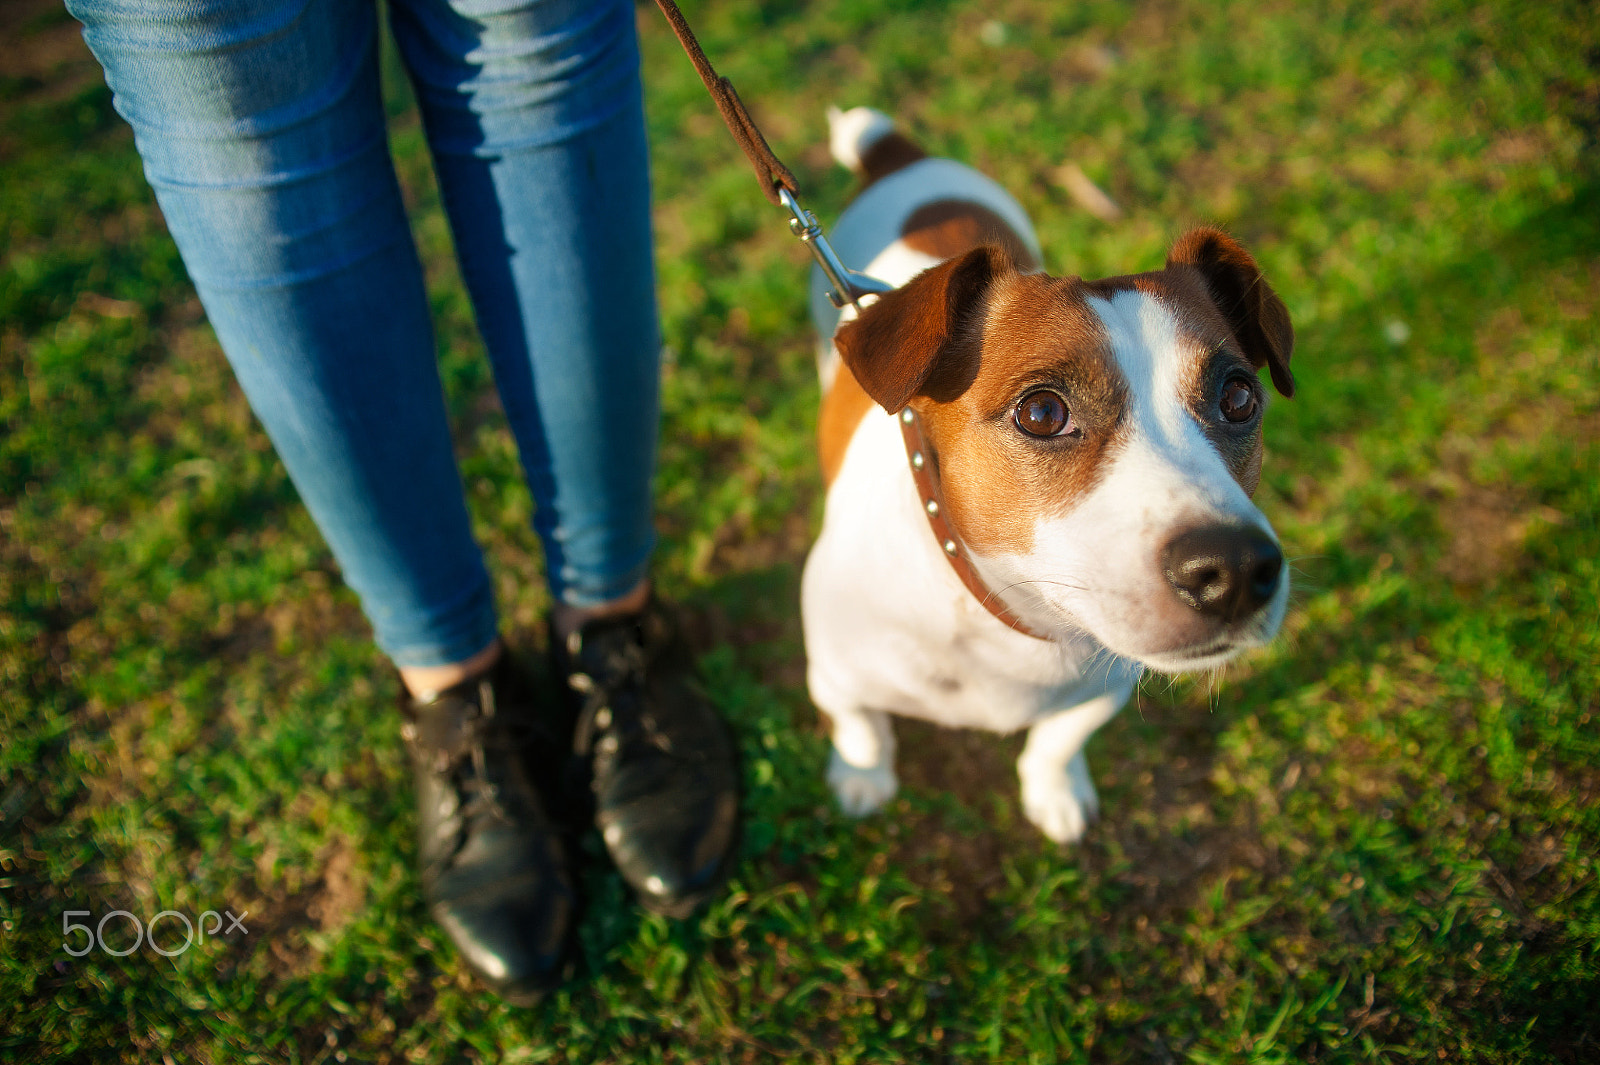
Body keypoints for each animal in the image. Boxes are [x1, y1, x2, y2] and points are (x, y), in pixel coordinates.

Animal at [793, 105, 1292, 837]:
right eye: (1041, 412)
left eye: (1238, 398)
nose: (1233, 568)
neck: (1004, 605)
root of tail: (901, 156)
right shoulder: (833, 675)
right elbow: (861, 728)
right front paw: (862, 777)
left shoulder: (1103, 687)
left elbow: (1057, 740)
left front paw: (1053, 790)